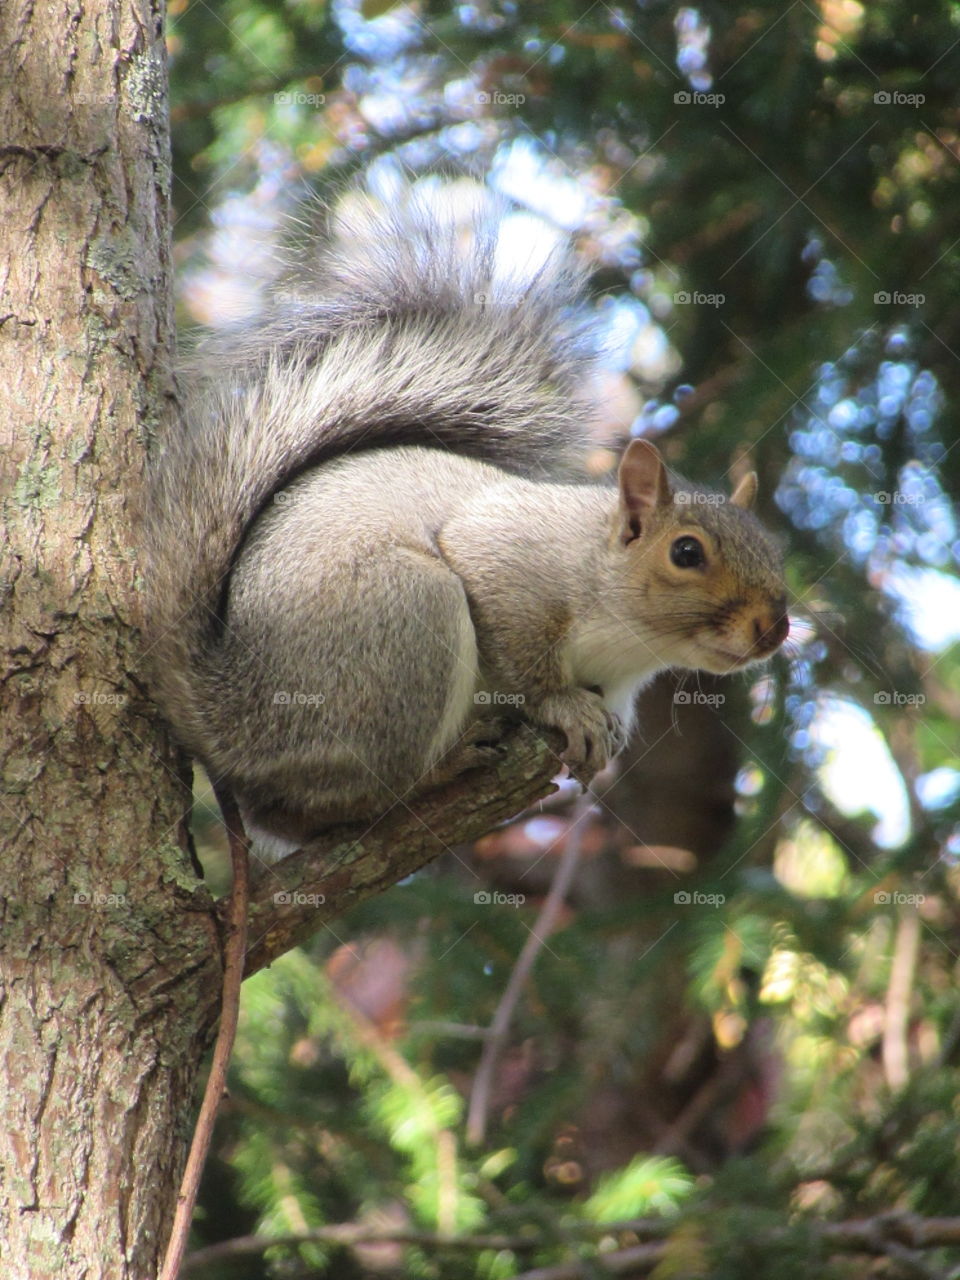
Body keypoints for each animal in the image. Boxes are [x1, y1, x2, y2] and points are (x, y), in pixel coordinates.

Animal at [145, 187, 789, 849]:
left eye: (776, 552)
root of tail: (230, 717)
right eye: (686, 552)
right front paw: (563, 706)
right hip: (404, 615)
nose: (774, 628)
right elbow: (520, 656)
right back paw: (441, 769)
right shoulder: (510, 562)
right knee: (353, 796)